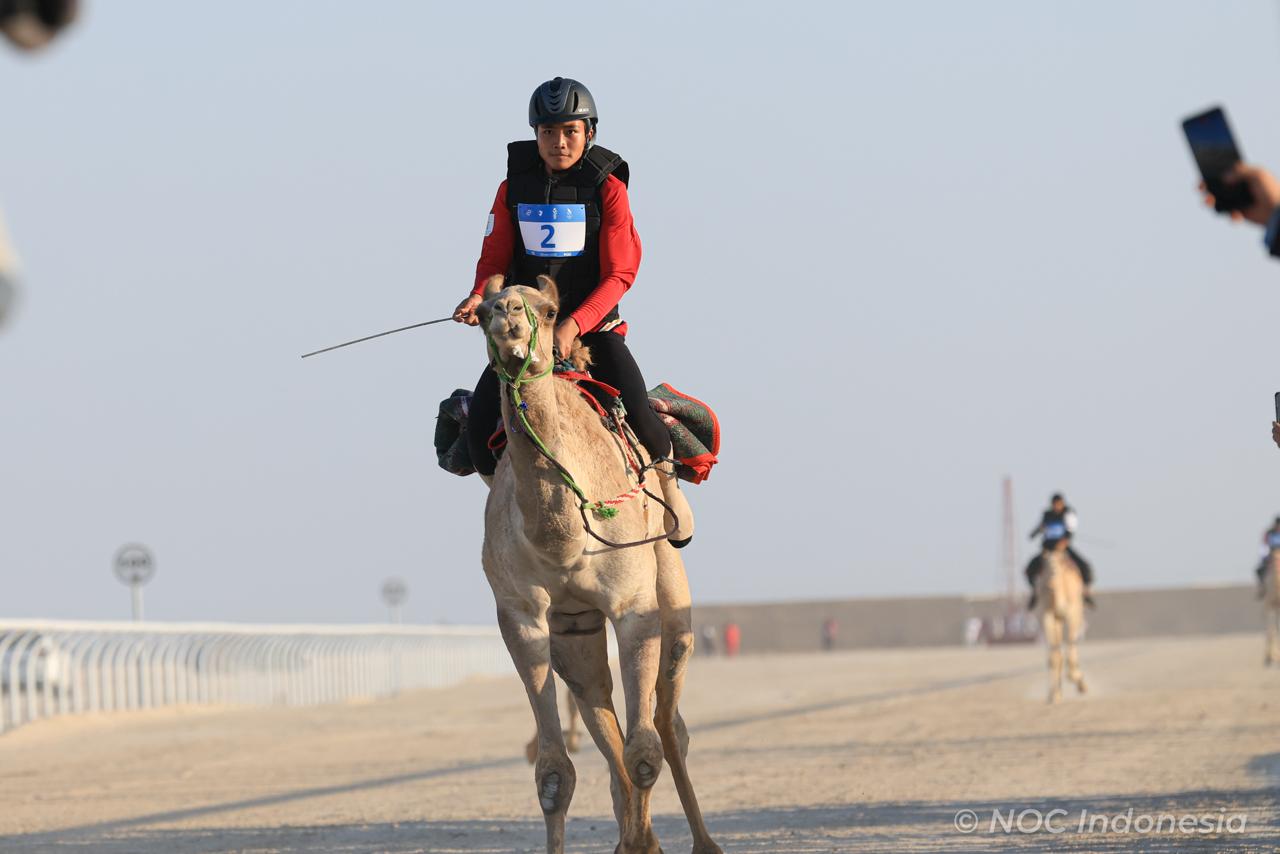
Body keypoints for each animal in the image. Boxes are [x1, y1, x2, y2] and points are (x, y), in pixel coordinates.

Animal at [476, 274, 719, 854]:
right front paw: (636, 842)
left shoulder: (633, 604)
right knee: (598, 705)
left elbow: (646, 751)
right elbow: (553, 773)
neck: (562, 538)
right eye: (483, 312)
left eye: (547, 310)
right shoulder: (522, 616)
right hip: (575, 630)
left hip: (670, 594)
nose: (508, 317)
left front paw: (647, 843)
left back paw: (703, 842)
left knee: (667, 723)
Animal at [1035, 539, 1088, 703]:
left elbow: (1070, 646)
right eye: (1045, 566)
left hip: (1077, 612)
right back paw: (1057, 693)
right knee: (1059, 653)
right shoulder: (1047, 615)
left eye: (1058, 566)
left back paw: (1080, 683)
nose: (1050, 583)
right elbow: (1054, 657)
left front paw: (1075, 678)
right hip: (1057, 619)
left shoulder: (1072, 613)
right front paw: (1053, 695)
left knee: (1072, 645)